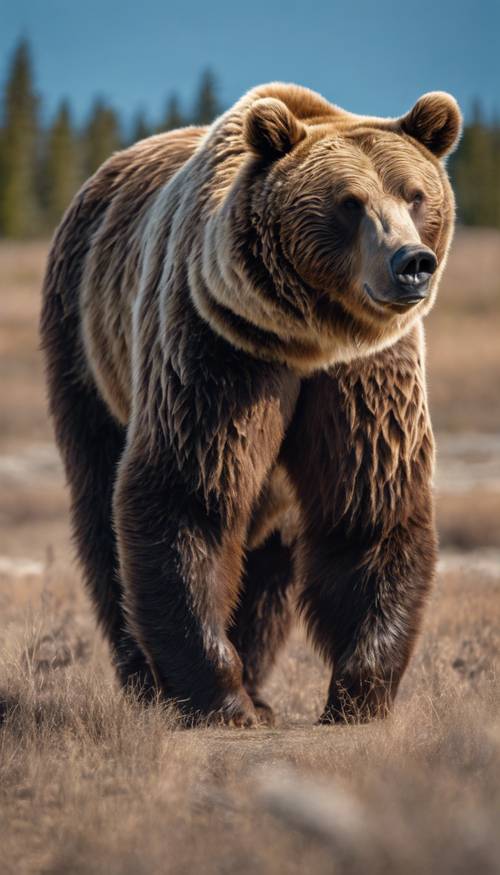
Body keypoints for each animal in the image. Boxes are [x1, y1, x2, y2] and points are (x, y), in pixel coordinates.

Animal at [41, 84, 462, 724]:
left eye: (414, 195)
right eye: (349, 202)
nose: (411, 262)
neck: (308, 341)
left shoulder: (362, 375)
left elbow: (368, 508)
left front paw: (357, 692)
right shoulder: (221, 348)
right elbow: (190, 494)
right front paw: (218, 697)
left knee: (270, 566)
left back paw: (259, 686)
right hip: (85, 346)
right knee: (100, 515)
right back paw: (148, 683)